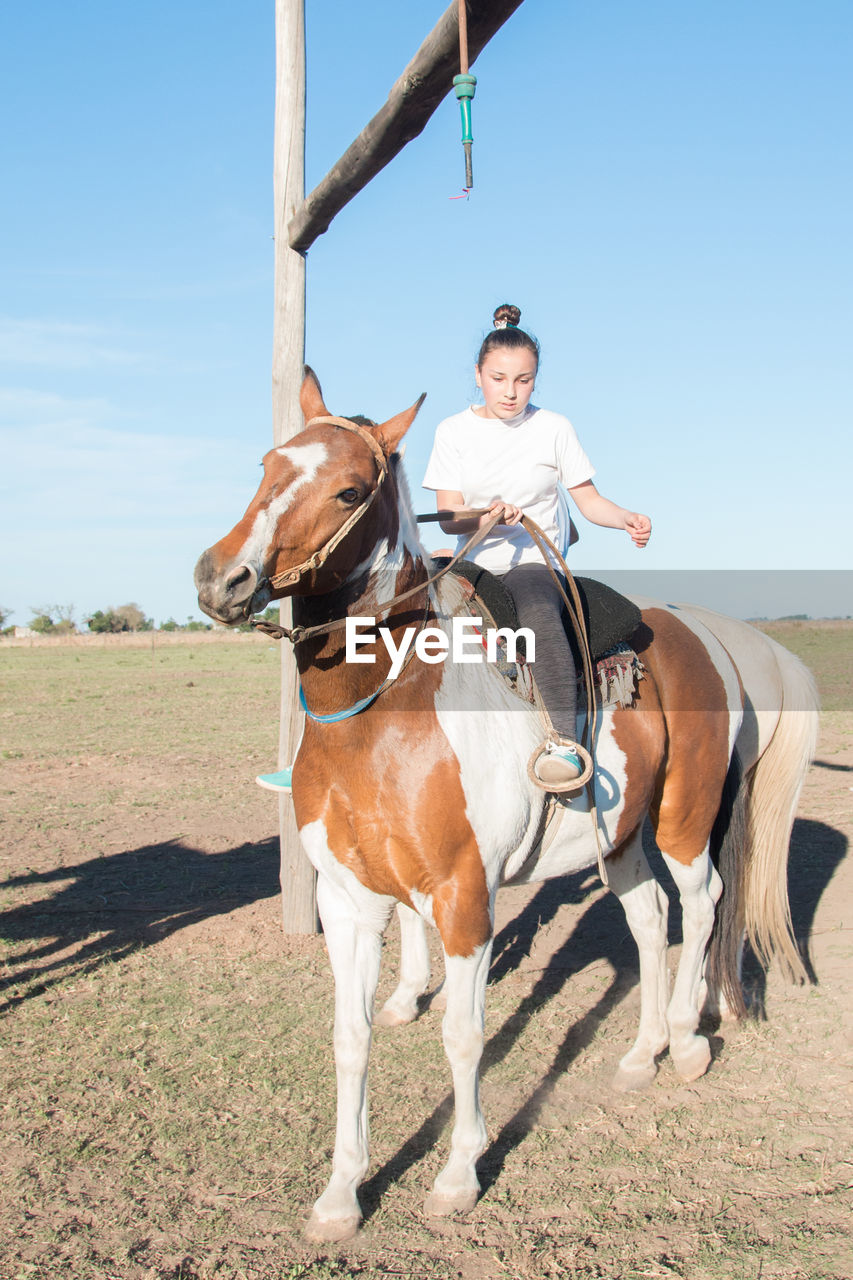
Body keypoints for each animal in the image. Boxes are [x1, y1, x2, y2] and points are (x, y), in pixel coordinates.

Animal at [194, 371, 819, 1239]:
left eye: (349, 489)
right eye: (267, 464)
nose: (221, 580)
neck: (384, 712)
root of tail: (708, 639)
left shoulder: (463, 898)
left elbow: (463, 1035)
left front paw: (459, 1171)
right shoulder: (348, 899)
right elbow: (350, 1037)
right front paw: (341, 1193)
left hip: (684, 820)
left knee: (699, 907)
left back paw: (687, 1045)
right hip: (619, 840)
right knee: (648, 918)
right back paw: (641, 1053)